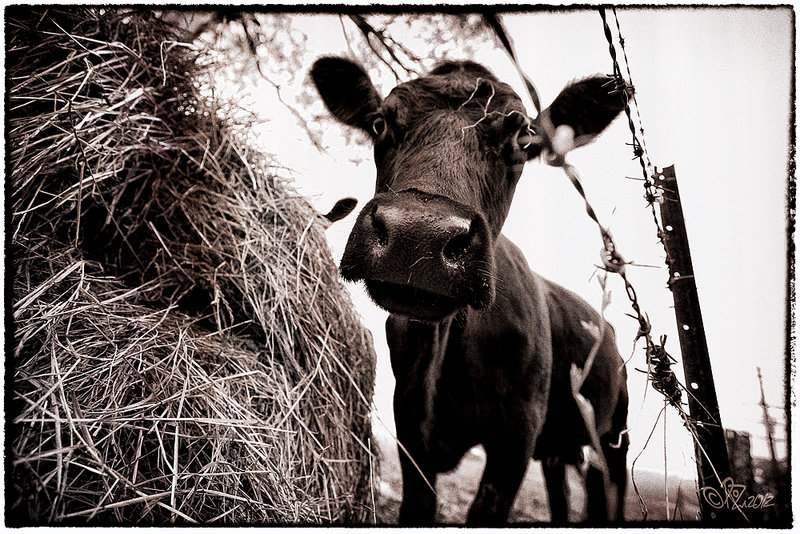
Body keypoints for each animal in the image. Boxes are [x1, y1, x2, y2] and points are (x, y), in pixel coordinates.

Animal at [311, 56, 629, 525]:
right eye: (379, 122)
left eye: (523, 139)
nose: (417, 236)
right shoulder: (409, 423)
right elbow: (419, 504)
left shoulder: (517, 434)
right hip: (561, 451)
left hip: (614, 437)